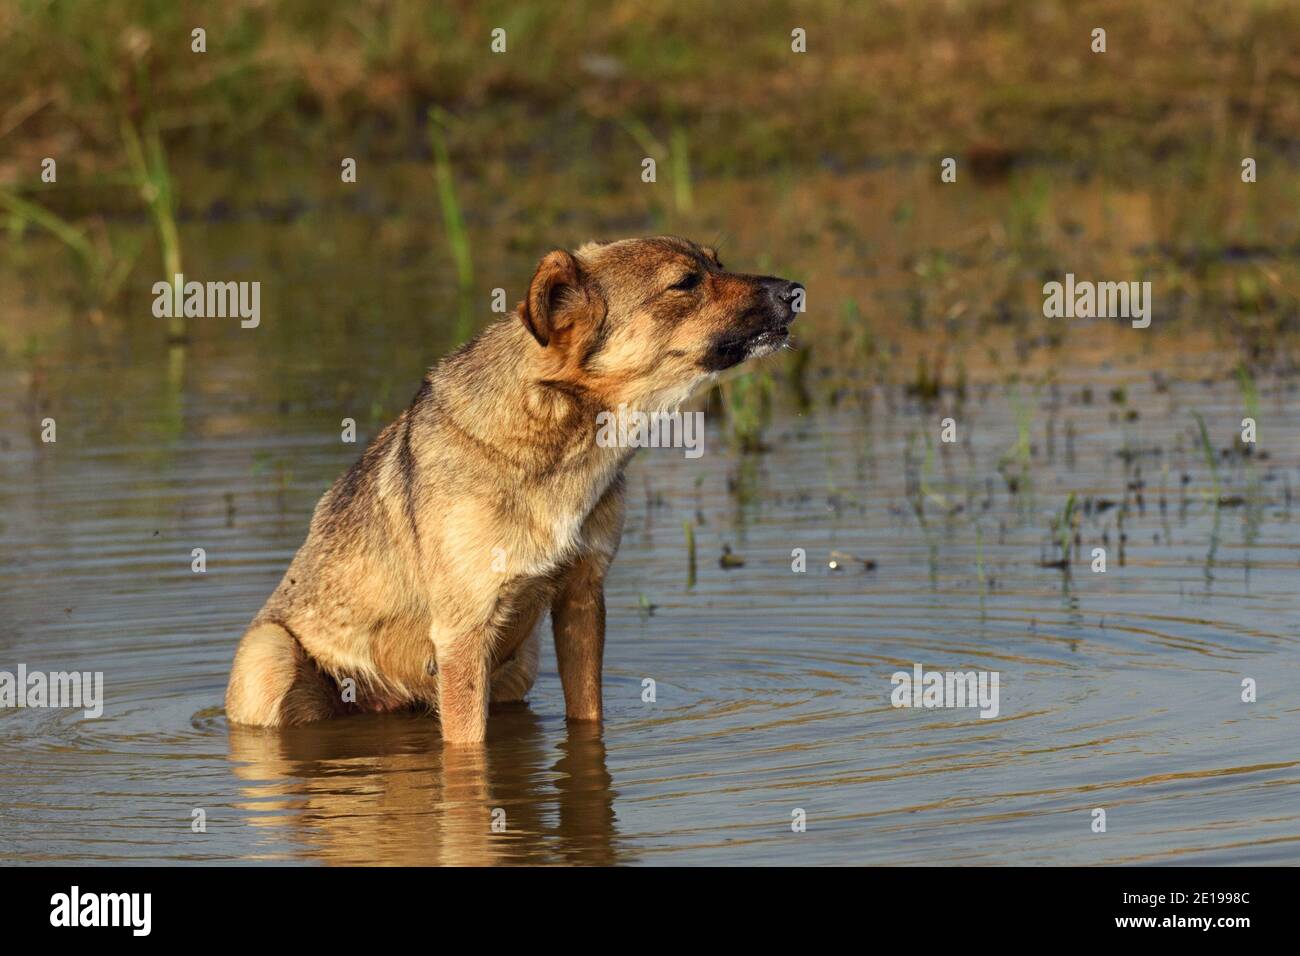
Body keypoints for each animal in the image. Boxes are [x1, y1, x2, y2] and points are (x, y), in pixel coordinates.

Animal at [226, 235, 800, 743]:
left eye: (717, 262)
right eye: (685, 282)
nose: (796, 291)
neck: (558, 443)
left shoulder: (581, 598)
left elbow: (587, 717)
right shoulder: (463, 635)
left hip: (517, 670)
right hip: (269, 660)